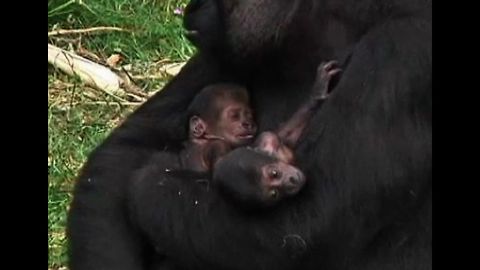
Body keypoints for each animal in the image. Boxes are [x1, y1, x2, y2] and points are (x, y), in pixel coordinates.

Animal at [180, 60, 342, 209]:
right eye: (234, 116)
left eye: (248, 115)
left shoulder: (265, 139)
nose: (248, 124)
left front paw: (317, 93)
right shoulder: (221, 146)